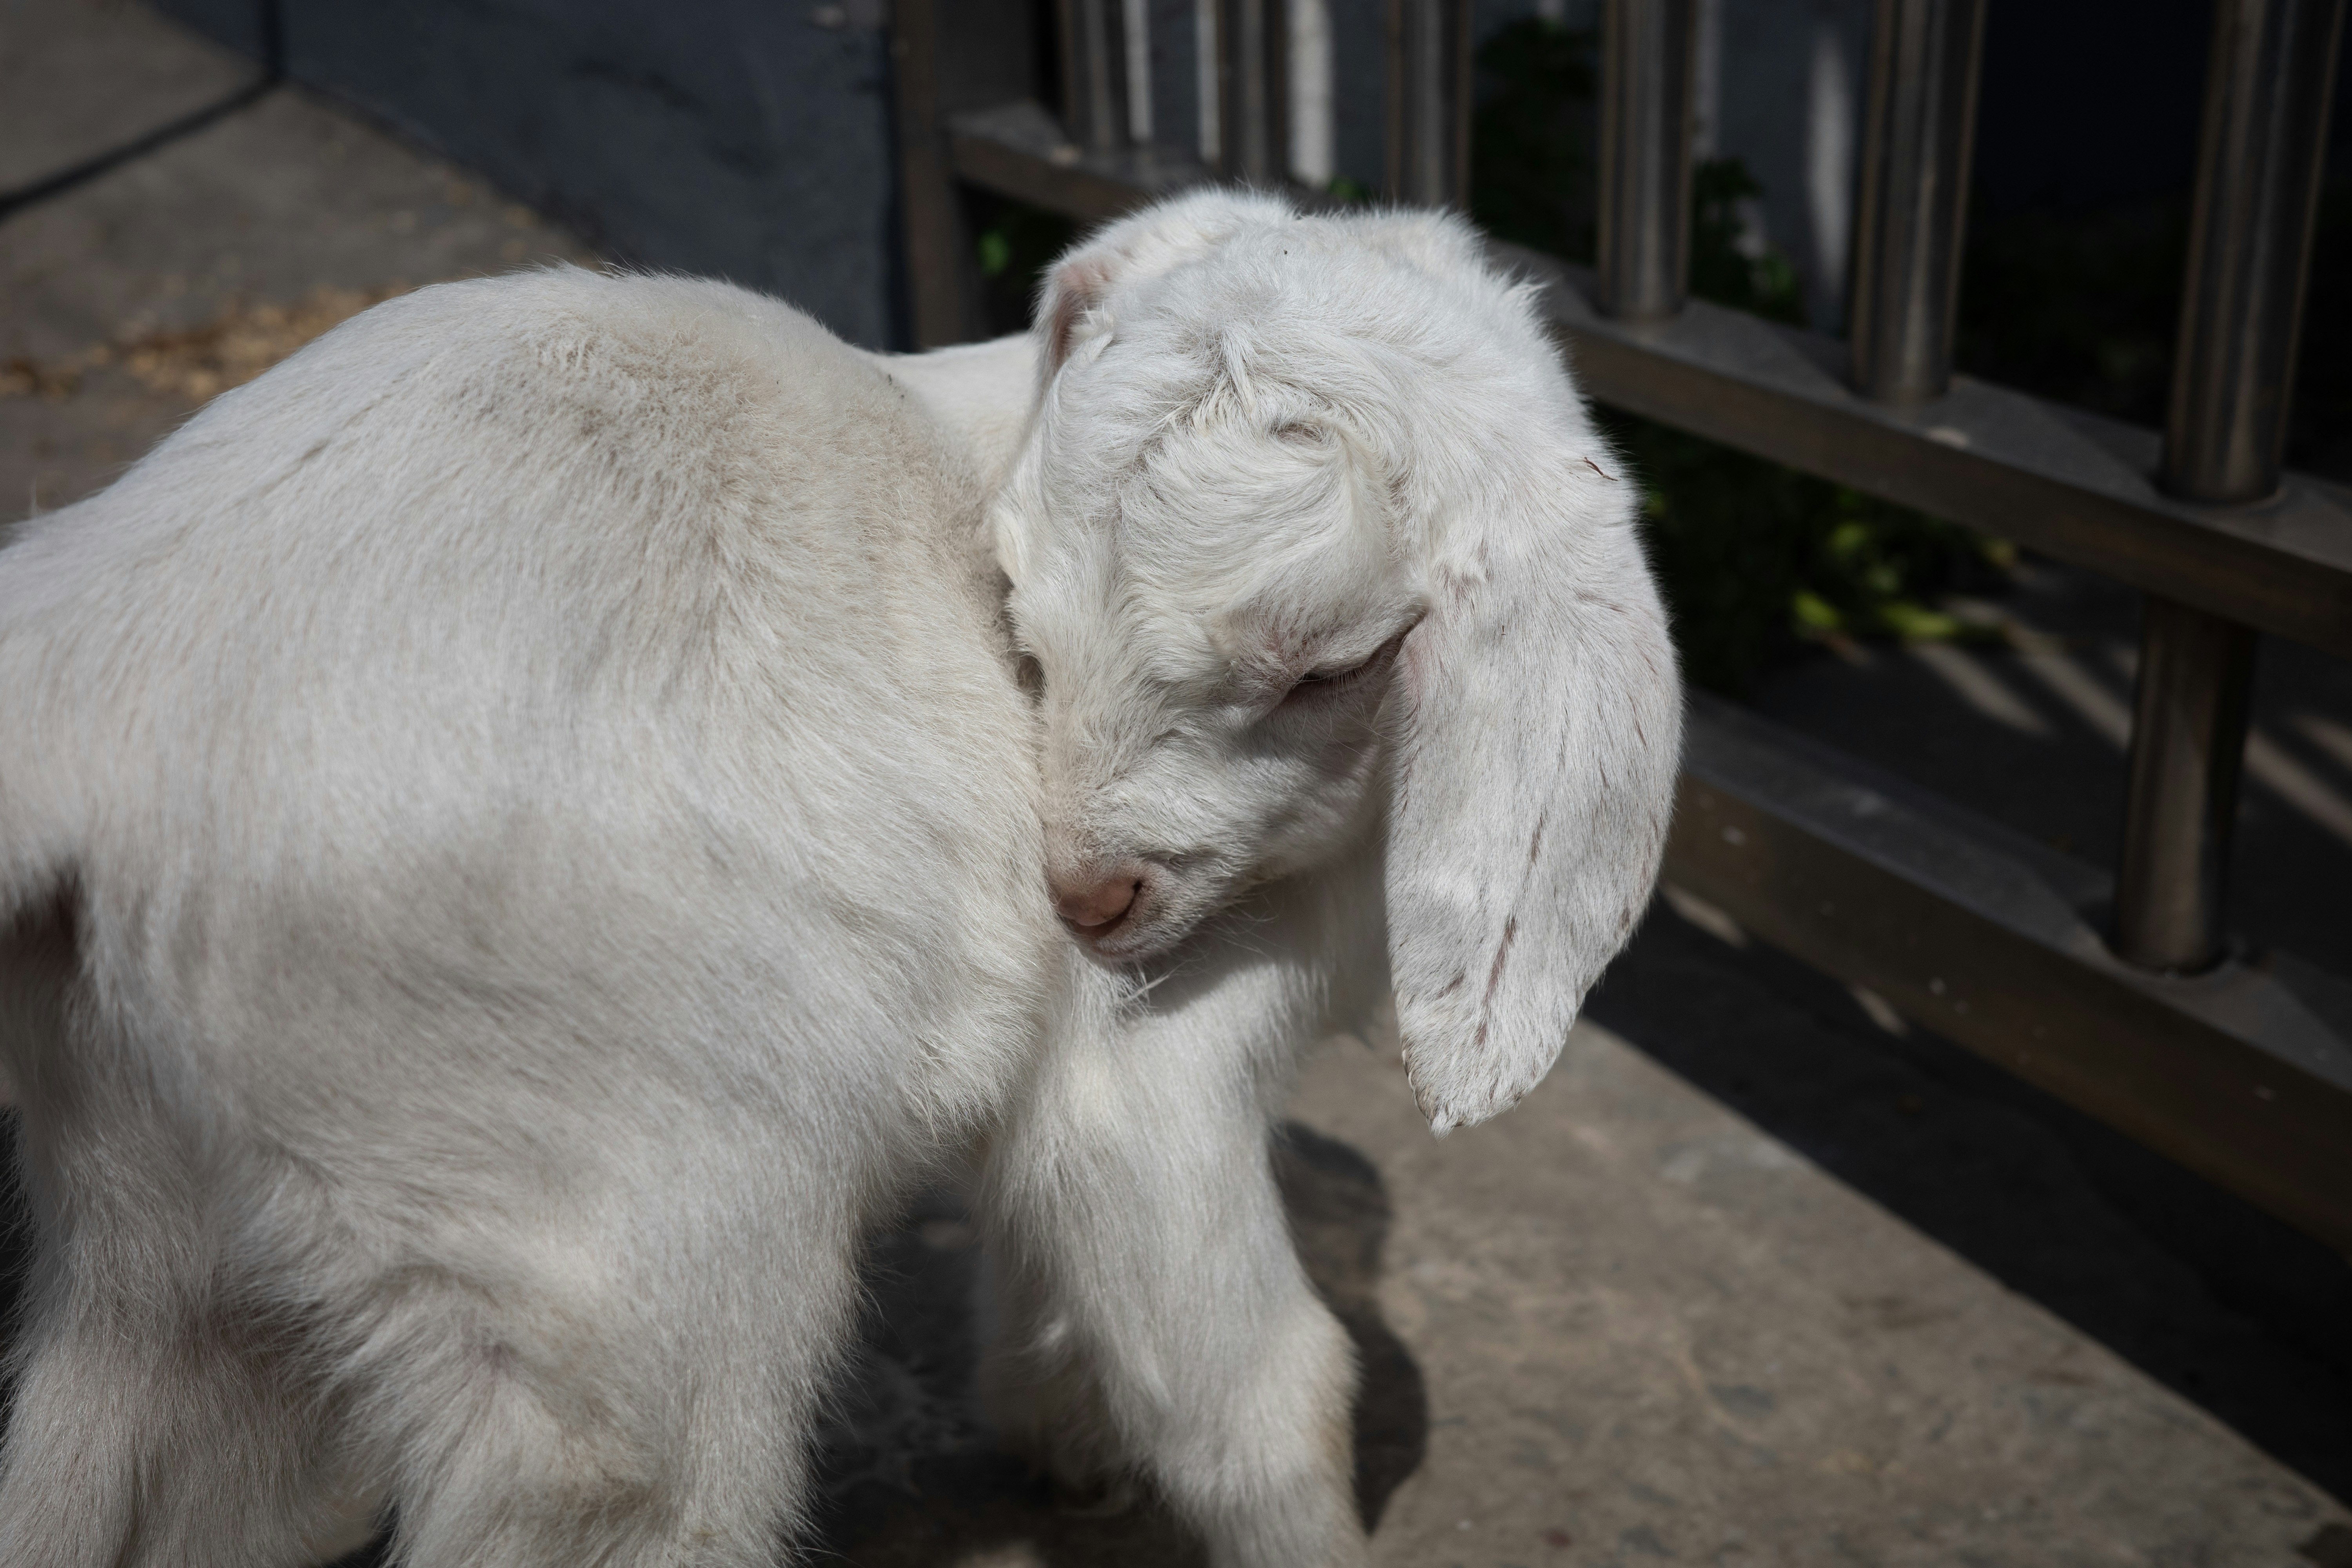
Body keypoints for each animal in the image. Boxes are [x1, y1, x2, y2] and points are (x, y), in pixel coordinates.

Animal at [0, 190, 1679, 1568]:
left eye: (1329, 667)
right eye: (1018, 618)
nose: (1085, 902)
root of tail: (93, 678)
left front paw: (1058, 1431)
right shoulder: (1141, 1072)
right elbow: (1271, 1393)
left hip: (174, 1214)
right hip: (598, 1243)